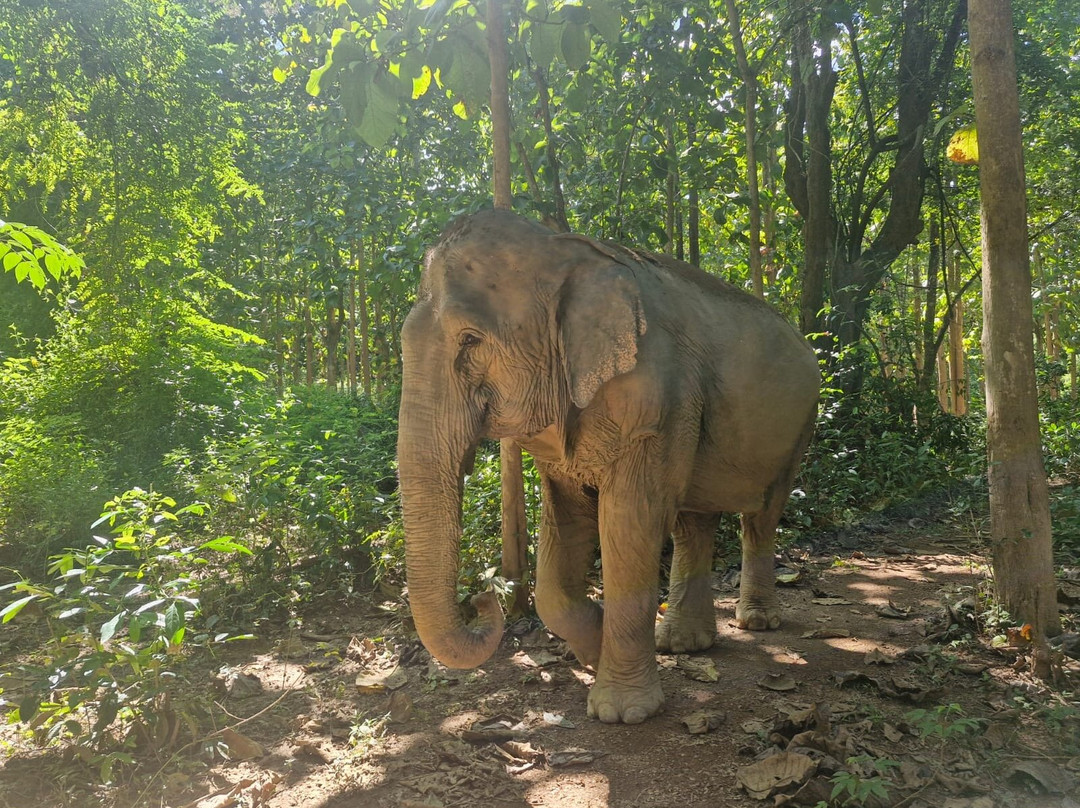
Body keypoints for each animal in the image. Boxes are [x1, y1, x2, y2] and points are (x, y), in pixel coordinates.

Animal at [397, 209, 820, 724]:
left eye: (471, 340)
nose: (482, 599)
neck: (563, 249)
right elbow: (564, 528)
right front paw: (594, 647)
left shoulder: (654, 402)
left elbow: (628, 521)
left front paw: (622, 712)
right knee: (692, 522)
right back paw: (682, 644)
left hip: (799, 424)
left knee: (760, 516)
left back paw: (756, 622)